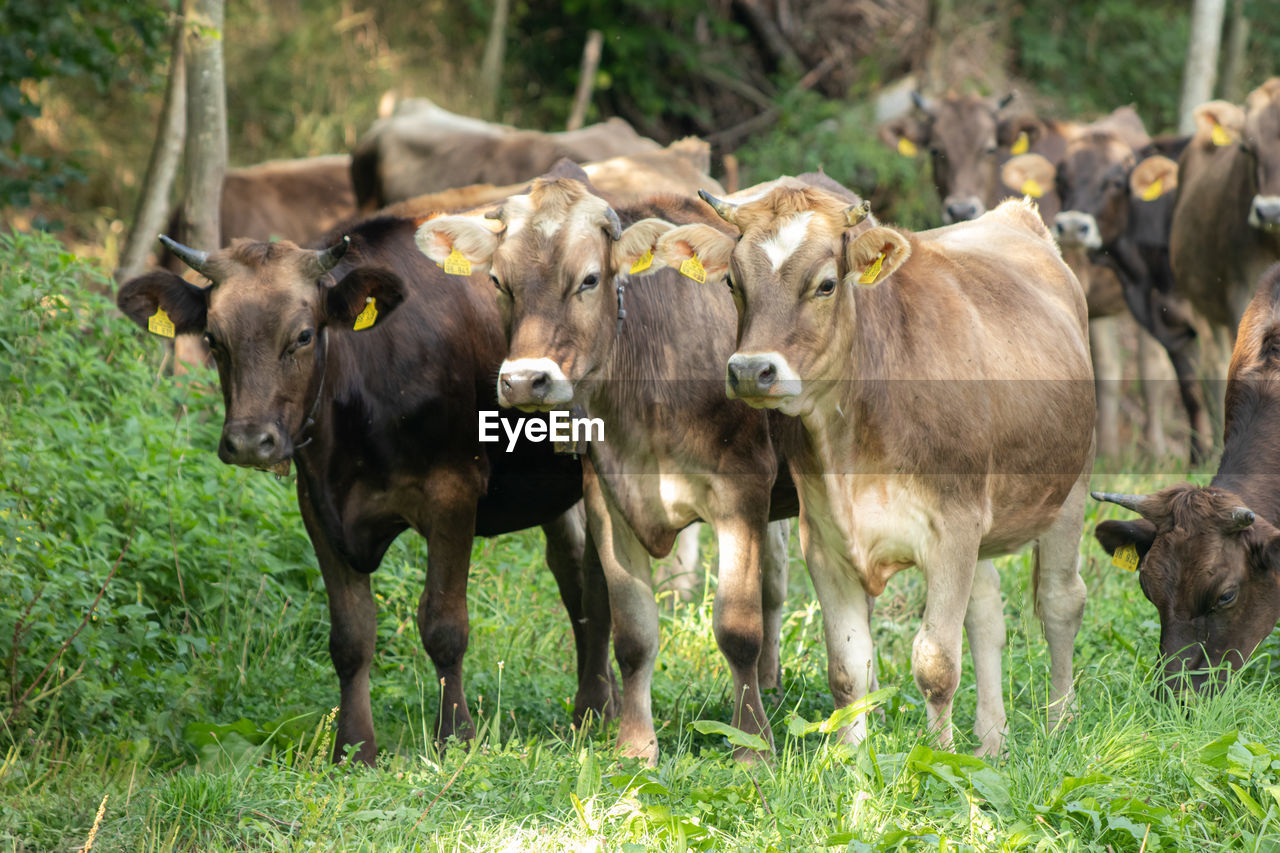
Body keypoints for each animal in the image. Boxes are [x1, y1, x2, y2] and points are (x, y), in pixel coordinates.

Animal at [414, 162, 803, 758]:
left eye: (590, 280)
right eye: (498, 282)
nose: (525, 380)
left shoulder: (742, 490)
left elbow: (738, 629)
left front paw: (751, 745)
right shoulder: (608, 499)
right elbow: (634, 636)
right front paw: (636, 746)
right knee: (776, 584)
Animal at [655, 188, 1095, 753]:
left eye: (825, 284)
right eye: (733, 282)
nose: (751, 370)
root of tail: (1014, 214)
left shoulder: (953, 529)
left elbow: (935, 663)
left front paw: (940, 759)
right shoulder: (824, 540)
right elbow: (848, 668)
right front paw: (850, 758)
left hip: (1070, 489)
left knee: (1061, 603)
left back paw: (1061, 722)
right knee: (986, 613)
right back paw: (990, 738)